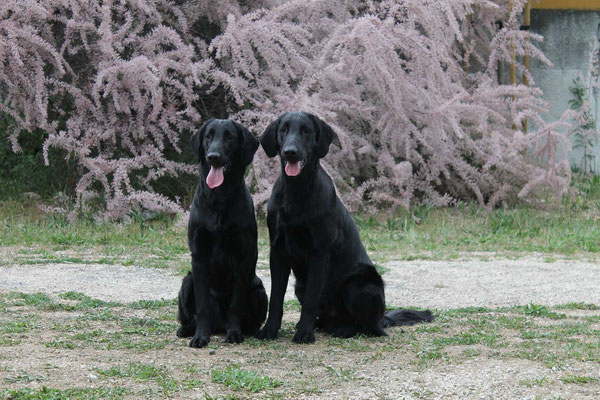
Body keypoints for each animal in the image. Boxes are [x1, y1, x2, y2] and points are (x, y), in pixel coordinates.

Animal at [177, 118, 268, 346]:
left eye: (229, 138)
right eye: (208, 136)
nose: (213, 156)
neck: (219, 198)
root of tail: (218, 325)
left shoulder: (243, 256)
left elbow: (236, 304)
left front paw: (234, 333)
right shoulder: (198, 256)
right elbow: (202, 306)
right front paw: (200, 336)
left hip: (259, 289)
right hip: (187, 282)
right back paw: (187, 330)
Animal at [256, 111, 432, 344]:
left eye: (306, 131)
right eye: (283, 130)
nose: (290, 152)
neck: (296, 191)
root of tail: (383, 317)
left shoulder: (319, 253)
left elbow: (311, 300)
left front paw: (304, 334)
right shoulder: (277, 251)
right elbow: (276, 298)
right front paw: (269, 330)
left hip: (360, 284)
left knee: (371, 328)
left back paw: (344, 329)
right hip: (301, 286)